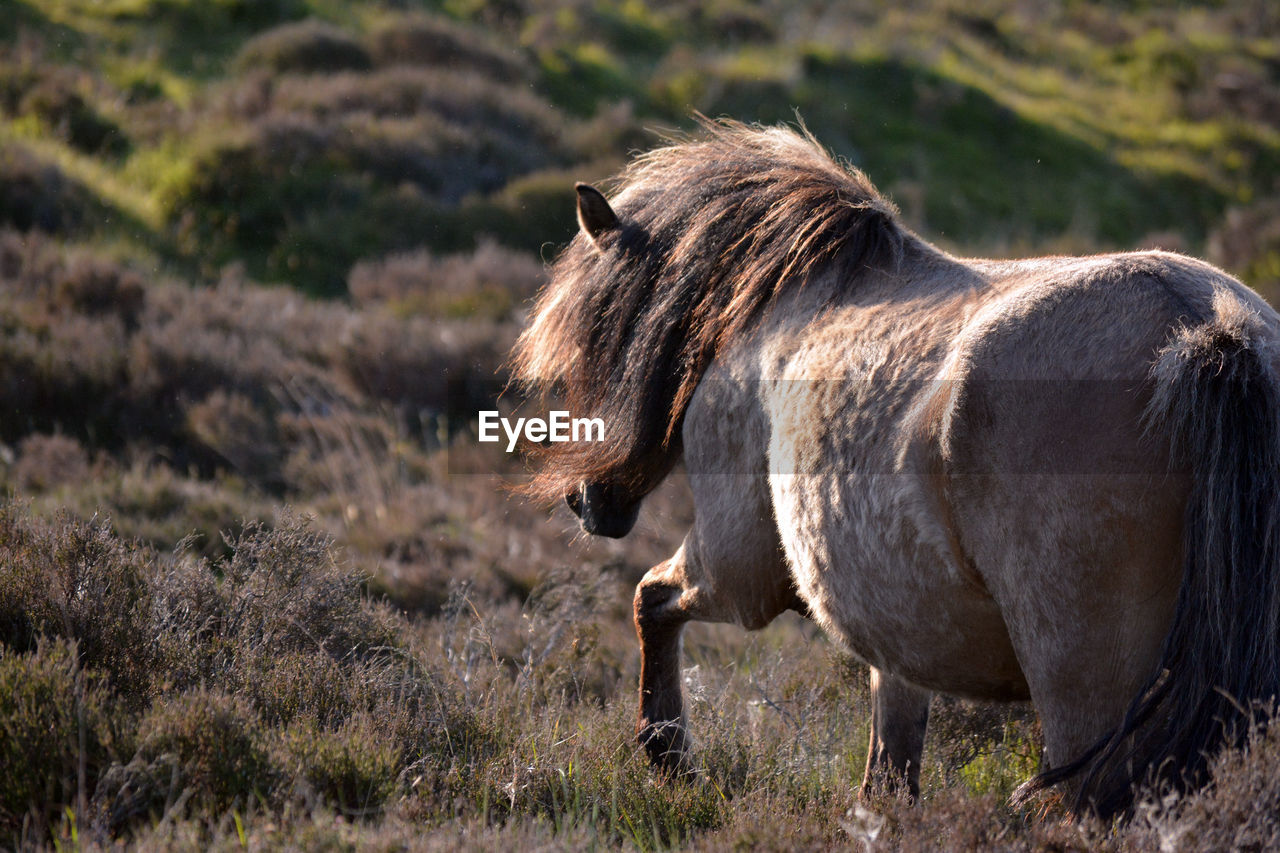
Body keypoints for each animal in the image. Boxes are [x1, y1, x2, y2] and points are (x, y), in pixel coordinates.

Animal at [509, 116, 1280, 814]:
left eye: (594, 333)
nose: (588, 502)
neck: (784, 302)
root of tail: (1206, 327)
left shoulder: (742, 571)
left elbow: (650, 598)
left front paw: (667, 753)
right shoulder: (900, 634)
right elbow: (888, 770)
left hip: (1084, 695)